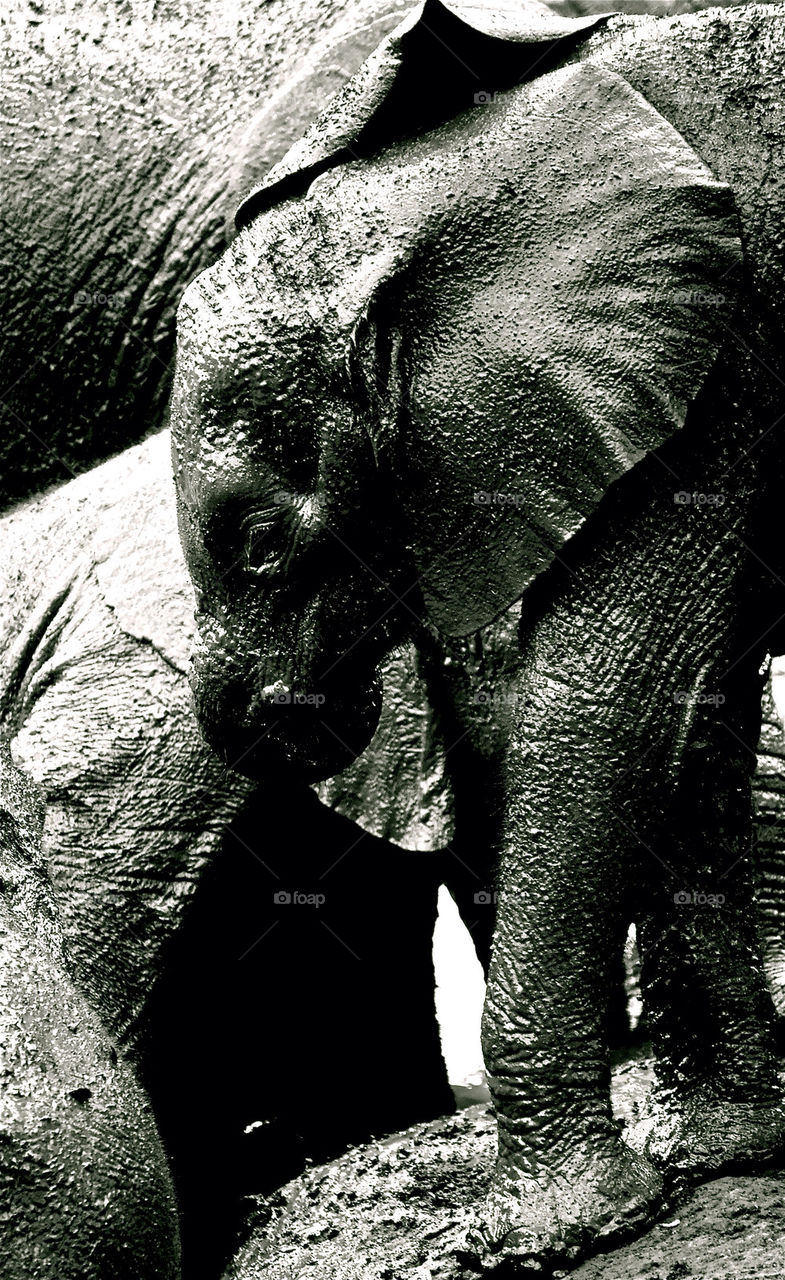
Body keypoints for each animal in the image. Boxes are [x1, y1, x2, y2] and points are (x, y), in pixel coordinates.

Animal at [170, 0, 785, 1271]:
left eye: (257, 539)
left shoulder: (712, 358)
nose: (287, 719)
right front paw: (724, 1144)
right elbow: (696, 701)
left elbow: (606, 695)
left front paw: (550, 1230)